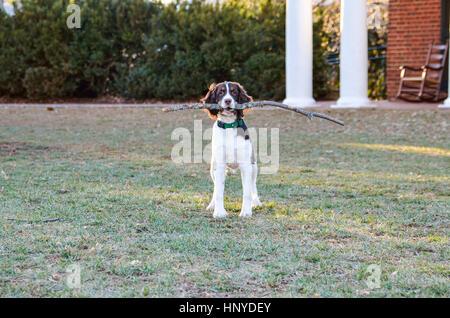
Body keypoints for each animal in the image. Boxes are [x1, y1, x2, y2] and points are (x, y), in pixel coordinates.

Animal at [202, 80, 262, 217]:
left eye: (234, 92)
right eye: (221, 92)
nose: (228, 101)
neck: (229, 125)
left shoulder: (246, 165)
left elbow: (247, 191)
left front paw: (246, 211)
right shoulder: (219, 165)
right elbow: (219, 191)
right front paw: (219, 212)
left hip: (254, 166)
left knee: (253, 185)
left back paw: (256, 202)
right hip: (213, 167)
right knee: (215, 187)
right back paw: (212, 205)